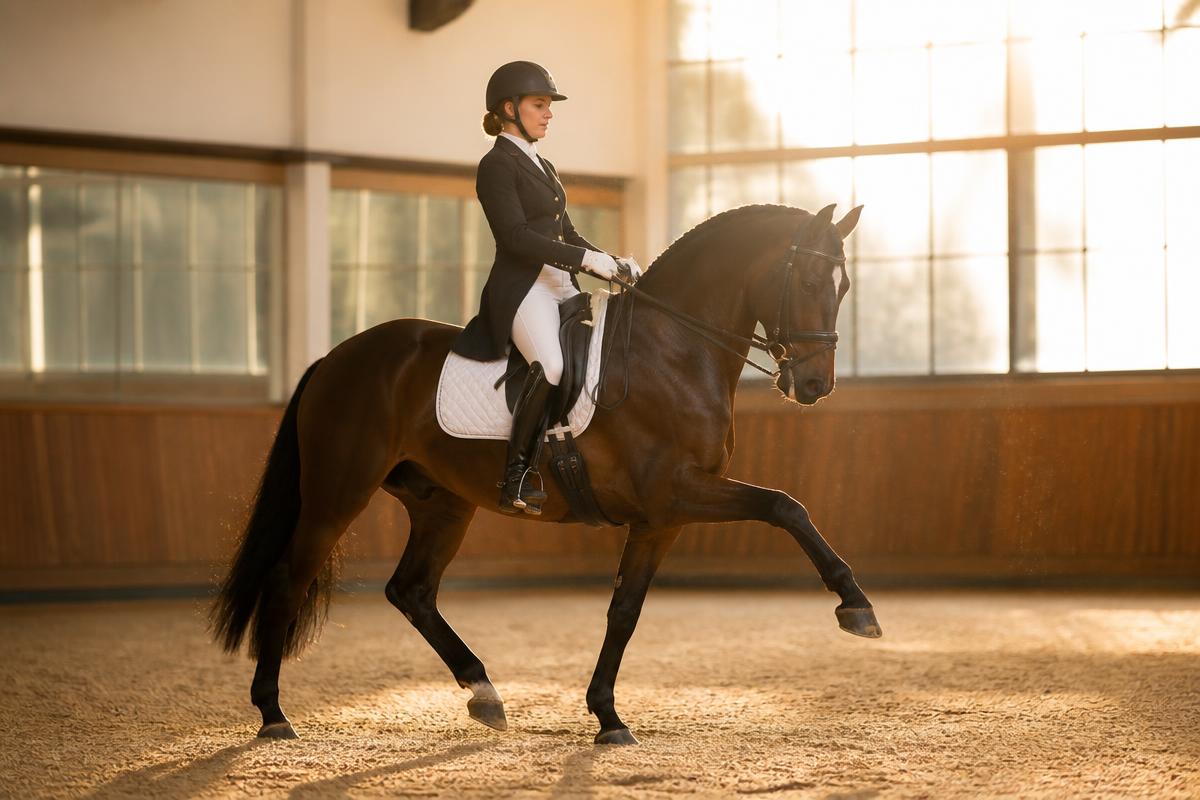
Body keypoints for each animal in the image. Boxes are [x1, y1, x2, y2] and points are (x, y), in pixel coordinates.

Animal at [210, 201, 879, 746]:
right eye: (812, 280)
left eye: (845, 286)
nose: (814, 385)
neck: (673, 349)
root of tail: (336, 356)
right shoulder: (676, 492)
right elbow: (784, 505)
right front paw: (855, 605)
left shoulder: (661, 518)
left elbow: (625, 611)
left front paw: (607, 716)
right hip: (336, 493)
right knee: (289, 580)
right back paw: (273, 714)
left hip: (442, 503)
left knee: (411, 590)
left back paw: (484, 693)